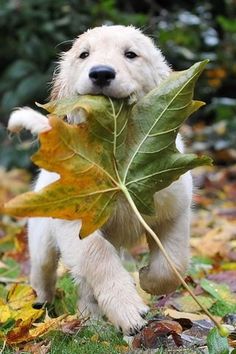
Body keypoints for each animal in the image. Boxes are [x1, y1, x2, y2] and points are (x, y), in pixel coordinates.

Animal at [7, 25, 192, 334]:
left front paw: (148, 279)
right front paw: (127, 309)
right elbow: (98, 257)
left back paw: (90, 320)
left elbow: (173, 262)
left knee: (84, 285)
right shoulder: (76, 224)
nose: (101, 73)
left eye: (131, 54)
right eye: (84, 54)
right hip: (42, 239)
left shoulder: (174, 208)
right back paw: (43, 310)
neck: (117, 152)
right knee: (44, 275)